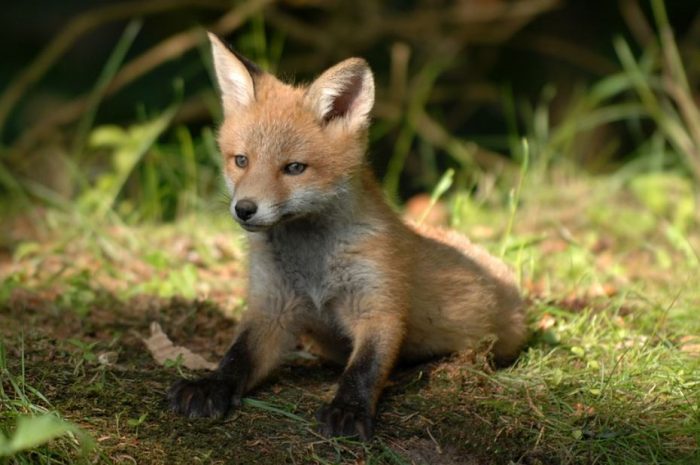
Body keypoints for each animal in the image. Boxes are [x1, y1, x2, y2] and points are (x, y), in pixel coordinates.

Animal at [168, 32, 527, 440]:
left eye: (294, 168)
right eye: (240, 161)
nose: (244, 209)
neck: (313, 263)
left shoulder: (378, 305)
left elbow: (364, 368)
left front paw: (348, 409)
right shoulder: (271, 308)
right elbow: (236, 357)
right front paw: (210, 385)